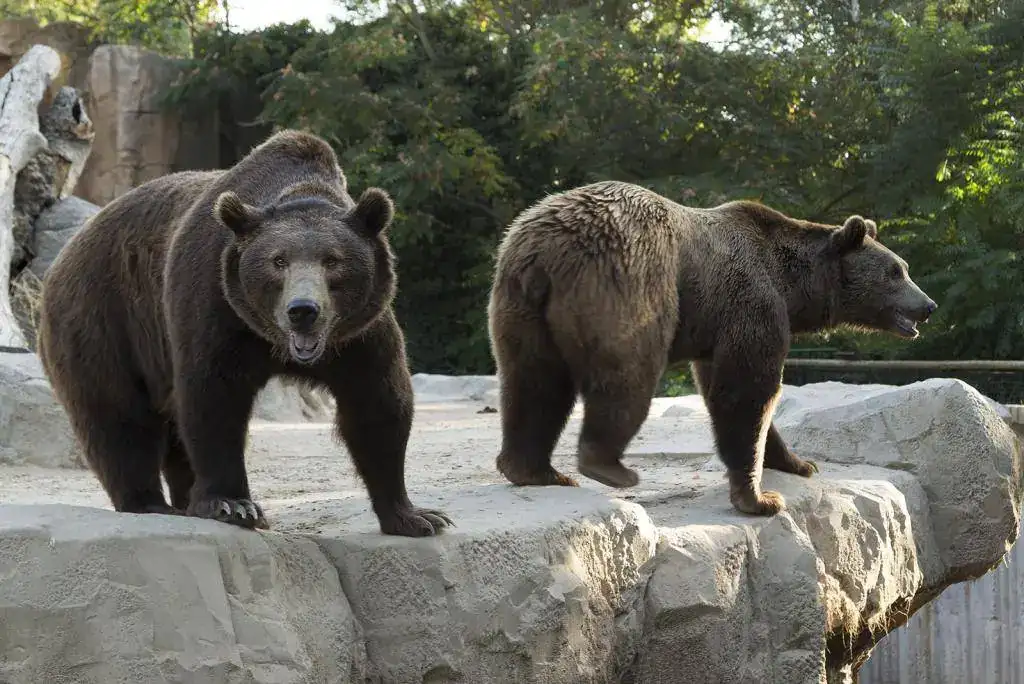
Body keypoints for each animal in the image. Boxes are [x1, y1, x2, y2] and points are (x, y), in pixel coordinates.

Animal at [37, 129, 453, 536]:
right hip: (105, 319)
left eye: (332, 260)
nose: (303, 310)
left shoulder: (359, 333)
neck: (274, 341)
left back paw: (185, 501)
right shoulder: (216, 305)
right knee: (119, 416)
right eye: (278, 260)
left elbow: (378, 404)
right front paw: (232, 504)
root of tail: (67, 251)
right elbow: (213, 399)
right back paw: (150, 503)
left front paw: (416, 516)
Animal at [487, 180, 937, 516]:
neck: (793, 286)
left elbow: (732, 391)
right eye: (895, 271)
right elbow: (747, 391)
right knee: (627, 373)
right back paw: (608, 467)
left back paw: (534, 470)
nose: (928, 305)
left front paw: (798, 462)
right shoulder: (751, 302)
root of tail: (546, 246)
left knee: (532, 382)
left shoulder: (715, 329)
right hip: (628, 278)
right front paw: (760, 498)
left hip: (519, 302)